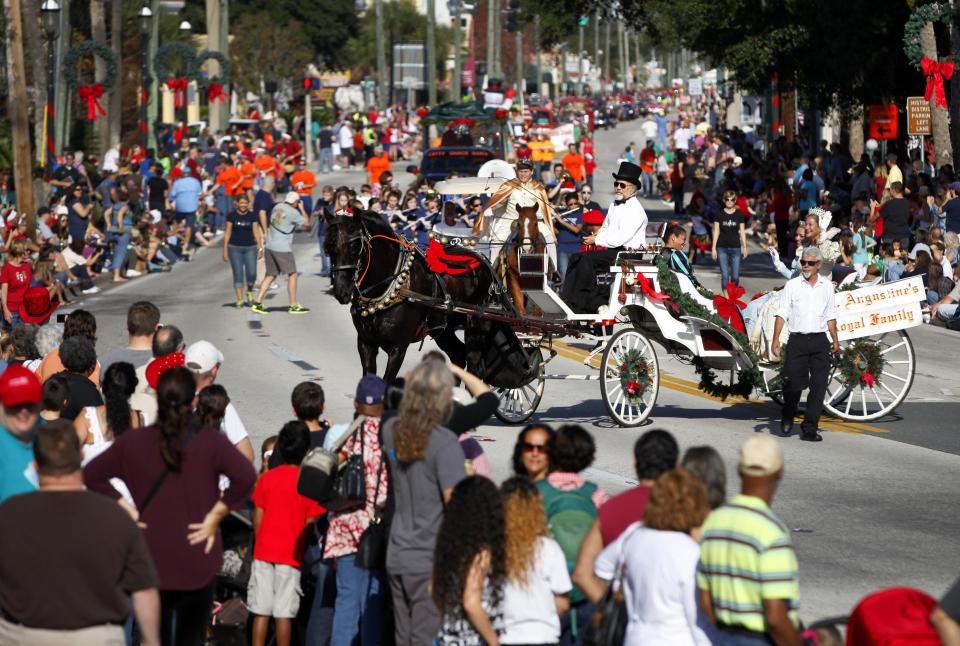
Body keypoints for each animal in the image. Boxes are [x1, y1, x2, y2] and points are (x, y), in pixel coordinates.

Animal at [326, 211, 544, 390]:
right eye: (330, 246)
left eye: (355, 245)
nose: (341, 290)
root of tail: (486, 263)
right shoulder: (366, 343)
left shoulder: (398, 348)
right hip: (443, 328)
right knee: (458, 355)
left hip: (477, 326)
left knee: (474, 367)